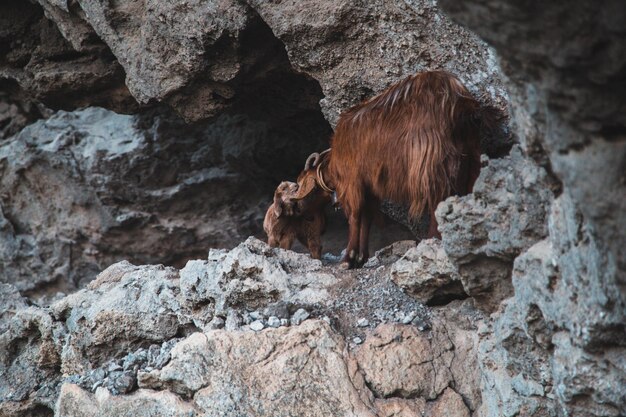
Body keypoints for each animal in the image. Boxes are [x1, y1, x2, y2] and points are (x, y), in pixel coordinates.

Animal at [292, 70, 482, 268]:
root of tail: (458, 100)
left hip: (430, 162)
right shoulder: (368, 188)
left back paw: (432, 239)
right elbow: (366, 219)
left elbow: (354, 217)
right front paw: (360, 258)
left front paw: (347, 259)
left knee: (437, 199)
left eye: (304, 185)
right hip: (472, 156)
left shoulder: (352, 183)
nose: (296, 208)